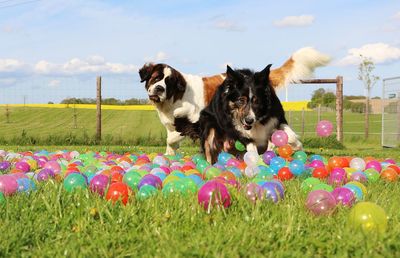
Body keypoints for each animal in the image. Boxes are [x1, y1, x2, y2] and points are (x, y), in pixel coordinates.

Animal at [139, 47, 330, 154]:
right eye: (156, 78)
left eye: (168, 82)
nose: (159, 88)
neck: (177, 95)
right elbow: (171, 141)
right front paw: (170, 155)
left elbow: (173, 138)